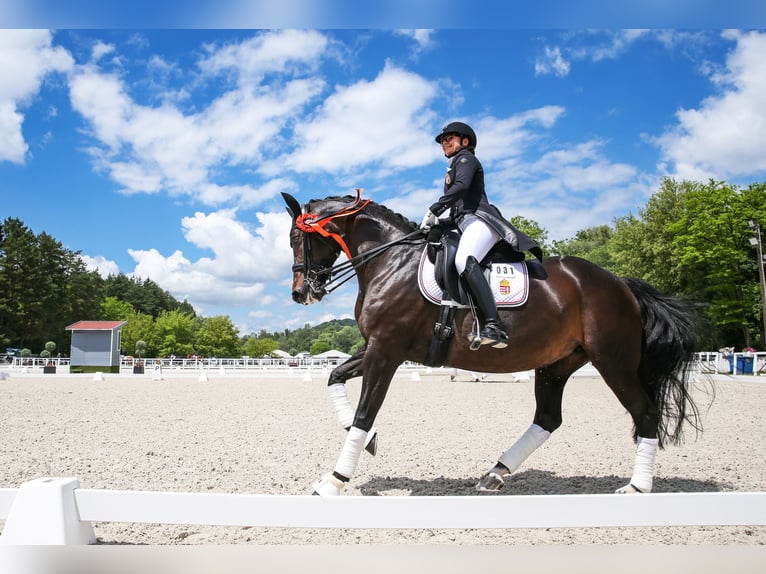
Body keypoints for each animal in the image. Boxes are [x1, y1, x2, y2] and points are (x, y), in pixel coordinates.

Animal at [282, 191, 704, 498]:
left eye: (296, 238)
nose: (301, 293)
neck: (392, 260)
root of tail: (621, 284)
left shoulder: (385, 352)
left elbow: (363, 414)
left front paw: (334, 480)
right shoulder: (378, 349)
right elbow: (335, 377)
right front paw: (368, 444)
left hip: (613, 361)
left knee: (645, 413)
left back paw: (636, 487)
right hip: (558, 363)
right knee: (548, 418)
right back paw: (494, 474)